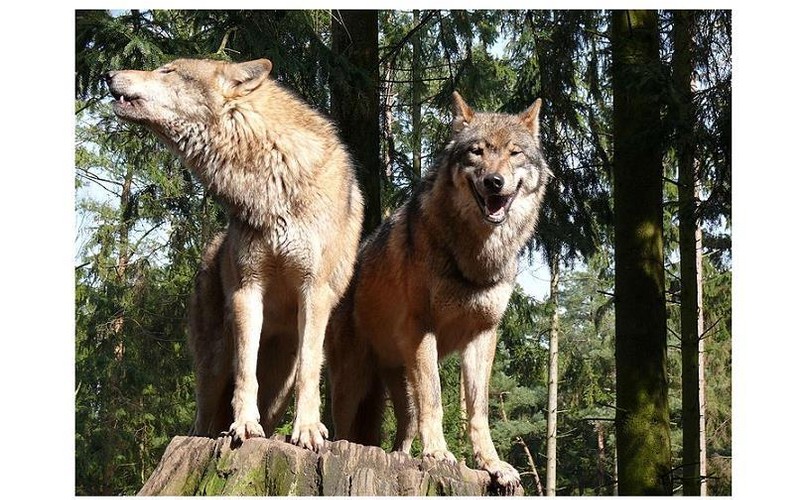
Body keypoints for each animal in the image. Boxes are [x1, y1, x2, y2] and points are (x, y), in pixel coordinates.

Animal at [105, 57, 364, 450]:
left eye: (168, 71)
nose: (108, 74)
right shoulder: (247, 289)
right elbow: (245, 368)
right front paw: (243, 424)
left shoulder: (314, 291)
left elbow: (309, 368)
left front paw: (307, 429)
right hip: (212, 366)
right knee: (203, 418)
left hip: (279, 387)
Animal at [326, 92, 552, 490]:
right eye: (477, 151)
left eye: (514, 153)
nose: (495, 182)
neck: (476, 257)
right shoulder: (422, 329)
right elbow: (435, 399)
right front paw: (437, 454)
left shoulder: (483, 335)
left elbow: (478, 411)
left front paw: (493, 464)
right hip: (351, 381)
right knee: (343, 426)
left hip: (398, 383)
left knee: (405, 427)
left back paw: (401, 457)